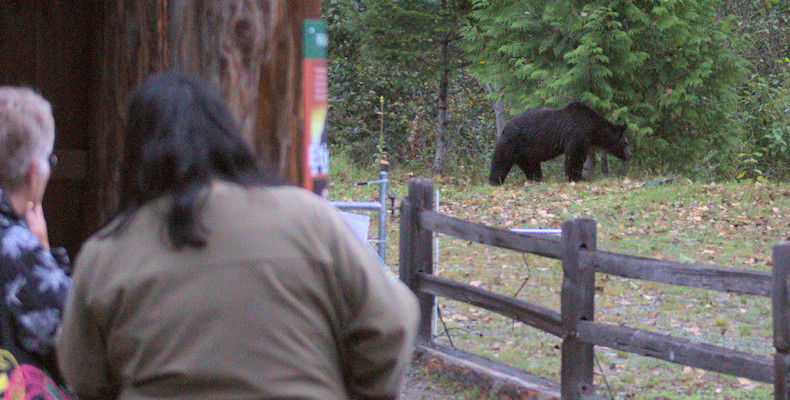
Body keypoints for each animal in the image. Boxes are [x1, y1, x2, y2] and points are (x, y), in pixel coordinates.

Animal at [486, 102, 636, 185]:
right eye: (626, 142)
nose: (630, 155)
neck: (593, 128)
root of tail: (505, 128)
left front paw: (580, 176)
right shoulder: (577, 133)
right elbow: (574, 156)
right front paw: (577, 177)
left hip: (527, 153)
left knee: (532, 167)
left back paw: (537, 179)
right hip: (512, 143)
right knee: (501, 161)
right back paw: (494, 181)